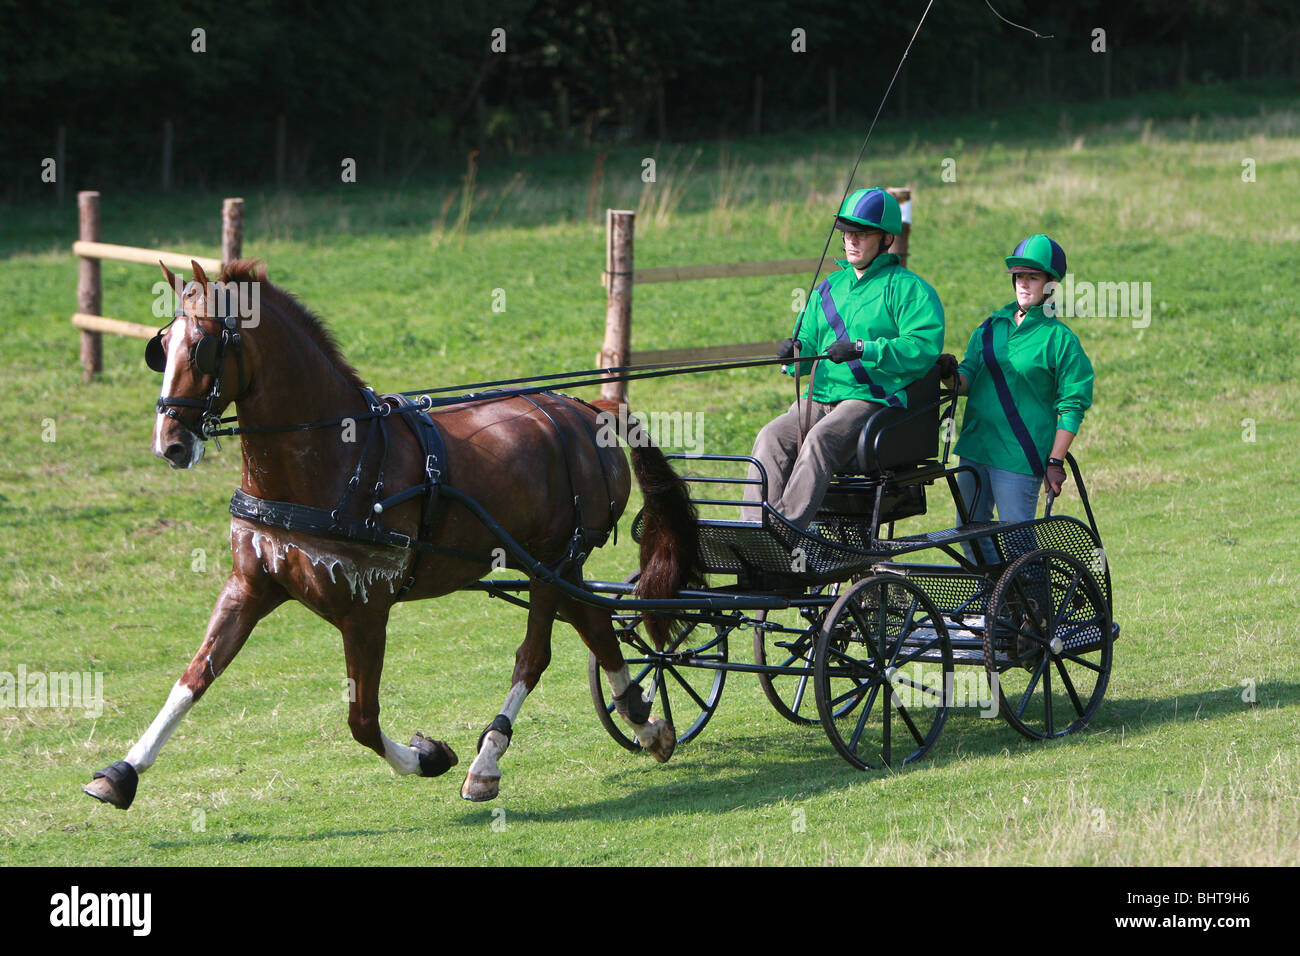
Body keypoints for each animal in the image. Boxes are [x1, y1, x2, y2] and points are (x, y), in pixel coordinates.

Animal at [82, 260, 702, 806]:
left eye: (206, 345)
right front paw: (121, 772)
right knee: (596, 625)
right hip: (556, 563)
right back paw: (646, 722)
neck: (337, 456)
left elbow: (362, 719)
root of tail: (589, 408)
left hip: (551, 561)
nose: (170, 443)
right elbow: (193, 678)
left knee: (535, 654)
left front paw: (430, 756)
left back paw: (488, 759)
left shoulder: (365, 610)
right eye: (161, 347)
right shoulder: (249, 586)